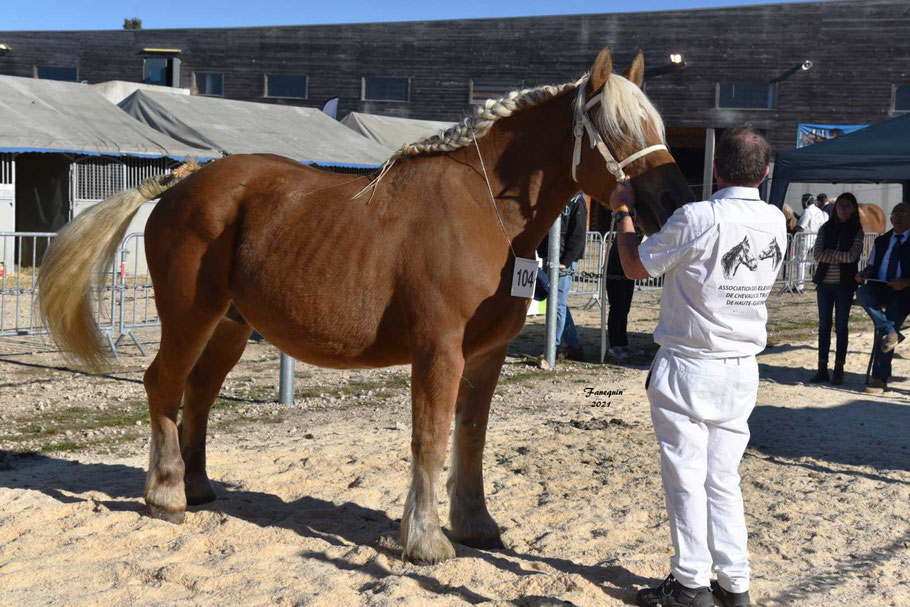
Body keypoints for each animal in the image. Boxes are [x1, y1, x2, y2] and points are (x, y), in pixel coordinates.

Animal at [35, 47, 692, 564]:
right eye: (619, 128)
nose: (674, 199)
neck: (485, 211)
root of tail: (181, 183)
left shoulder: (487, 357)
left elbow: (471, 435)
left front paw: (476, 525)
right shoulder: (439, 353)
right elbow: (430, 437)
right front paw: (426, 539)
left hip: (229, 326)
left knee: (196, 394)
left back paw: (196, 487)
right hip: (189, 317)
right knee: (163, 385)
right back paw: (167, 493)